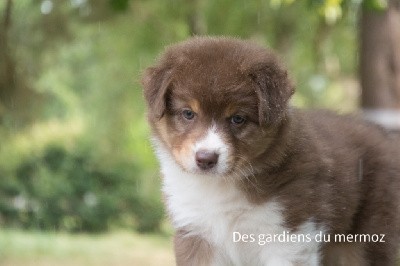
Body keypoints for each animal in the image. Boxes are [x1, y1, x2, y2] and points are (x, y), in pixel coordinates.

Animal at [141, 36, 400, 264]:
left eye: (238, 118)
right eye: (188, 113)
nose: (206, 159)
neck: (221, 187)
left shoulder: (289, 236)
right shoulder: (195, 232)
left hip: (367, 238)